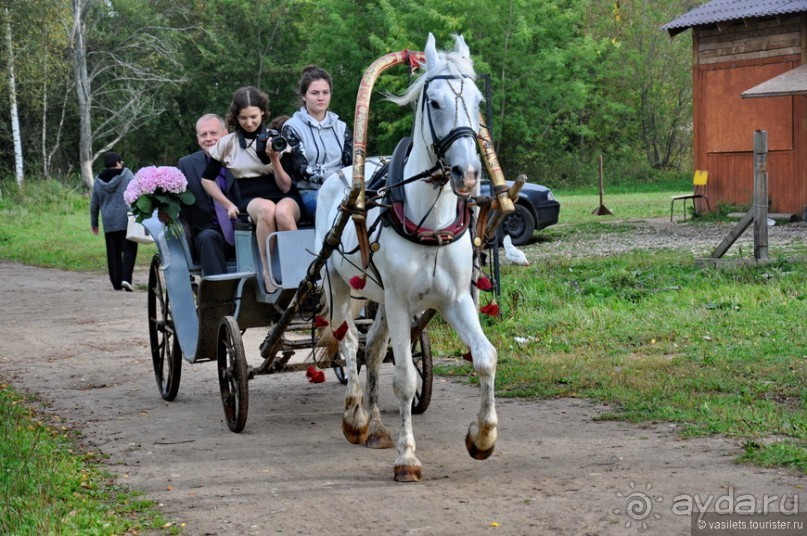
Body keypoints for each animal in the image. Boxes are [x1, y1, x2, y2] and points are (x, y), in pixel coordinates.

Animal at [318, 33, 498, 482]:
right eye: (433, 102)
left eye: (477, 99)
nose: (469, 173)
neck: (429, 219)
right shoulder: (400, 302)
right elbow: (405, 379)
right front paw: (407, 458)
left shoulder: (454, 300)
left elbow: (485, 358)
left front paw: (482, 437)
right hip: (338, 285)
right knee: (348, 341)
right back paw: (355, 417)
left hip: (380, 300)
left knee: (372, 348)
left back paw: (377, 426)